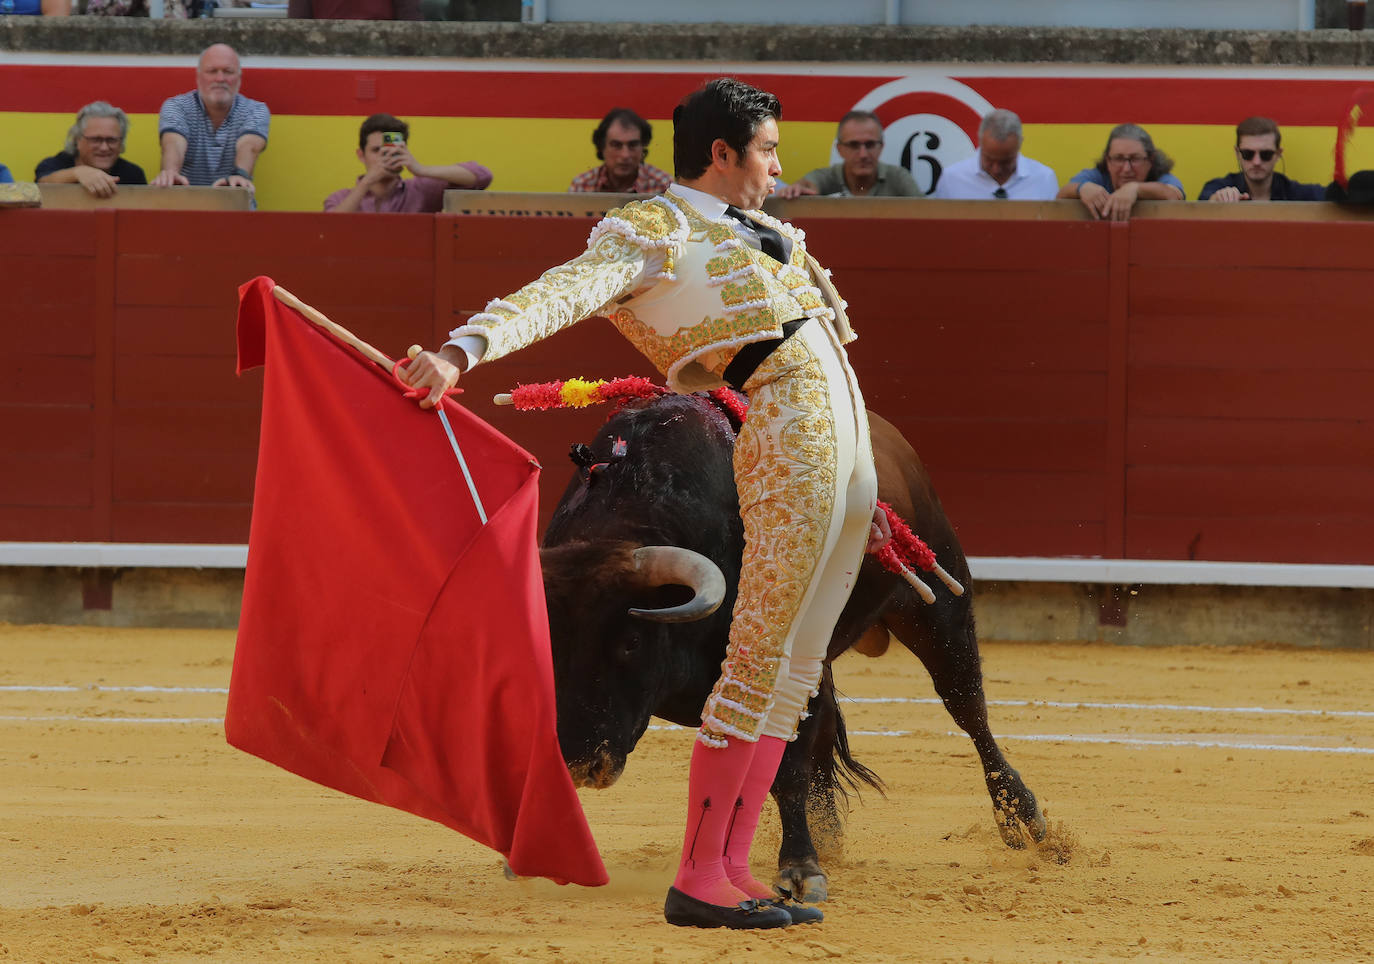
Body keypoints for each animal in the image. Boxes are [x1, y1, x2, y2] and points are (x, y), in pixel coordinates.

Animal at [535, 389, 1038, 900]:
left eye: (633, 641)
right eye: (551, 642)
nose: (580, 762)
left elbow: (787, 769)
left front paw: (801, 868)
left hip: (938, 609)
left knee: (968, 708)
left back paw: (1022, 819)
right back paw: (827, 834)